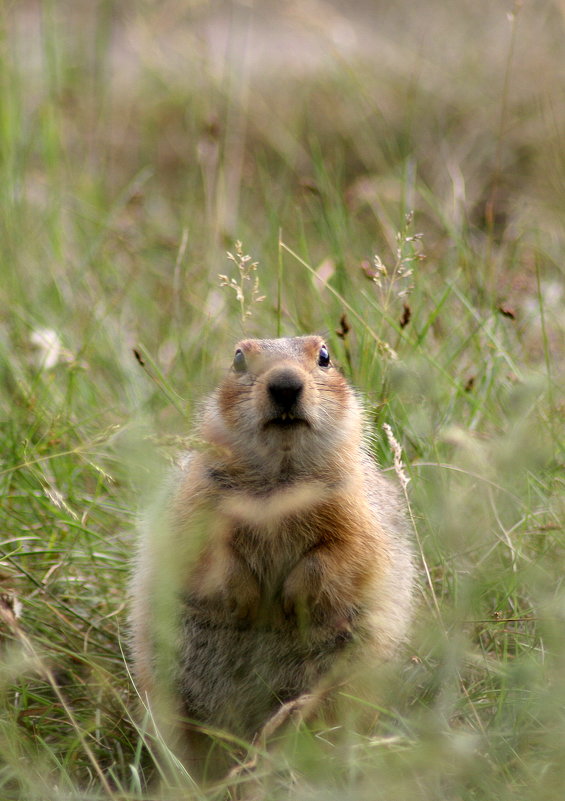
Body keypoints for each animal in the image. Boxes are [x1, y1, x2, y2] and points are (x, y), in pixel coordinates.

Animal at [131, 336, 414, 776]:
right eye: (238, 358)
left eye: (324, 356)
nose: (284, 384)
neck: (280, 478)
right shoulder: (196, 501)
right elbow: (204, 549)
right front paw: (246, 599)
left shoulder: (355, 509)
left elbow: (346, 552)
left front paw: (292, 601)